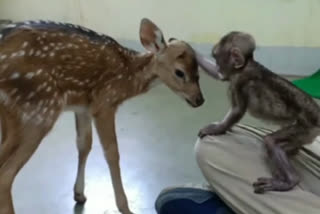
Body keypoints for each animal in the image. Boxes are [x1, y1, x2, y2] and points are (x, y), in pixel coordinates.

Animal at [196, 31, 320, 194]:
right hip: (305, 134)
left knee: (270, 141)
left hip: (304, 127)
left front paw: (216, 129)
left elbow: (237, 110)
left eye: (217, 58)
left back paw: (289, 180)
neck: (246, 65)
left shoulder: (239, 82)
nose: (218, 67)